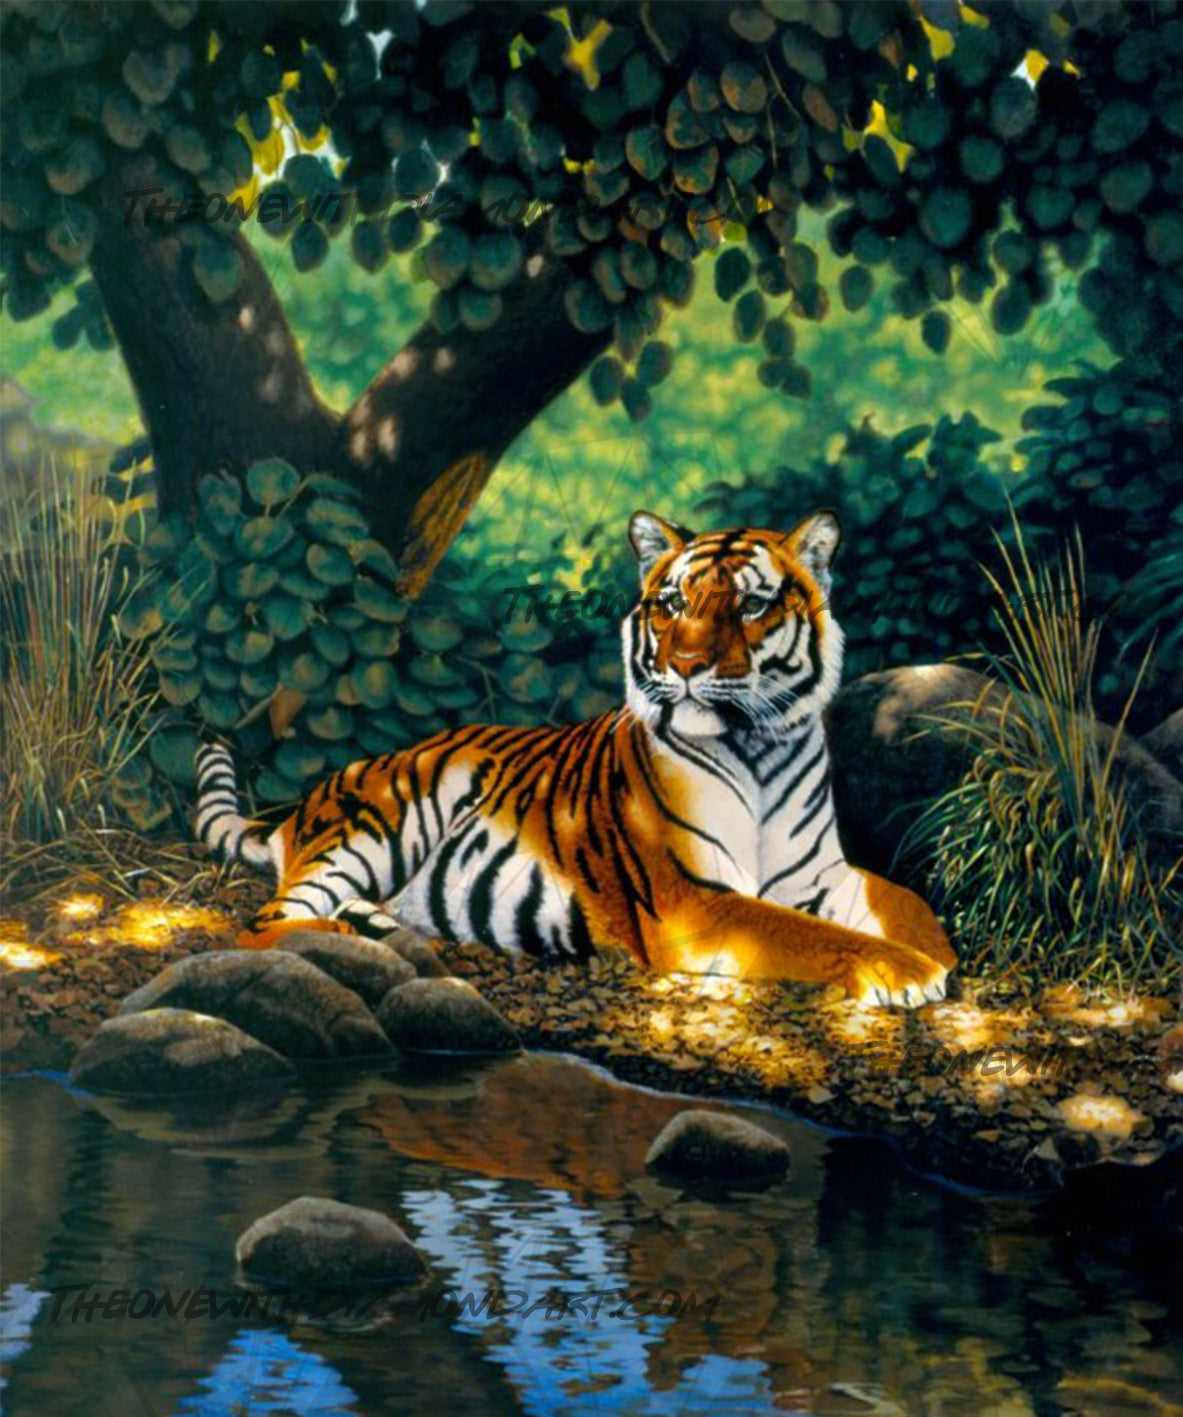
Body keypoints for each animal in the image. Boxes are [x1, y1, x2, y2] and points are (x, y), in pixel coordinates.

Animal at [195, 510, 955, 1007]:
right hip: (381, 820)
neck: (758, 746)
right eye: (671, 603)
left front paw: (938, 954)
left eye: (750, 606)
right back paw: (358, 940)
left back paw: (382, 926)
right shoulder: (695, 899)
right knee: (265, 925)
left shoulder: (820, 872)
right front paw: (908, 972)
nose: (685, 666)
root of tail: (303, 807)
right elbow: (811, 934)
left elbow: (904, 899)